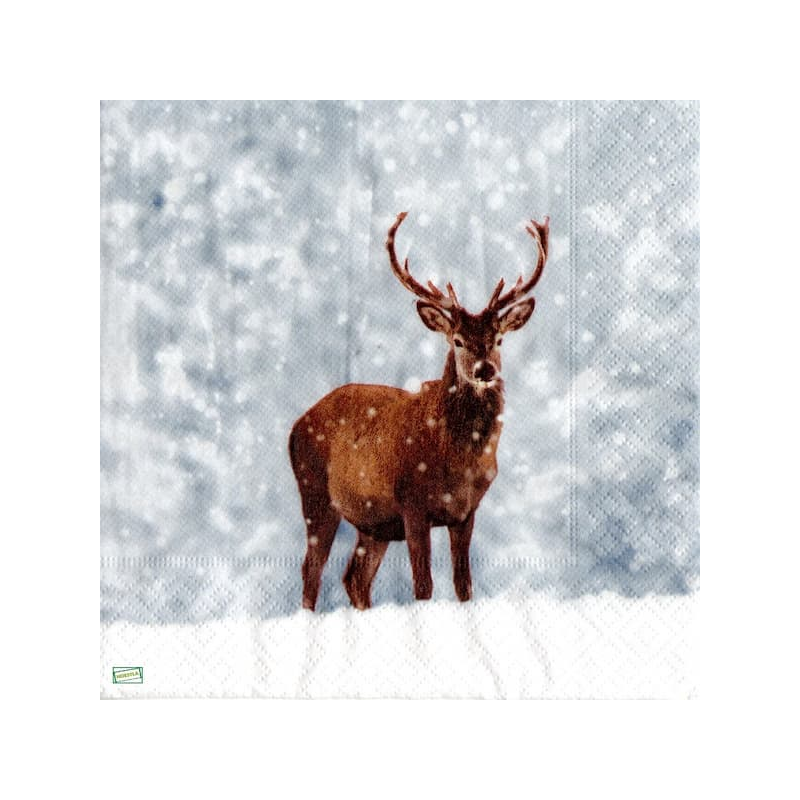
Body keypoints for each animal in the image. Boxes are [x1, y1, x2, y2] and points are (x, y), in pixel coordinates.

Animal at [288, 211, 550, 611]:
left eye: (499, 339)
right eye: (457, 340)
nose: (484, 369)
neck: (458, 460)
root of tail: (296, 425)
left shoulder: (466, 512)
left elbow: (463, 586)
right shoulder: (412, 504)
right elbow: (423, 586)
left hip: (373, 523)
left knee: (354, 578)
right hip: (315, 492)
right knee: (311, 570)